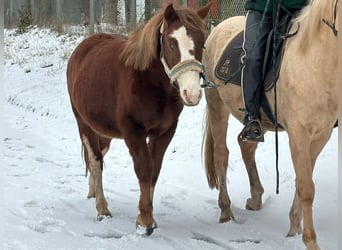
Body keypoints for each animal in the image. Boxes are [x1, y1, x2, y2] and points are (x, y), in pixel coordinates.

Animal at [66, 2, 211, 235]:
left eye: (202, 42)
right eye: (171, 43)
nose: (192, 93)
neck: (148, 81)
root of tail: (83, 47)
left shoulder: (164, 132)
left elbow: (154, 171)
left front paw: (149, 216)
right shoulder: (134, 132)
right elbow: (144, 169)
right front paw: (144, 221)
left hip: (103, 130)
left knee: (97, 156)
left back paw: (93, 191)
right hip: (83, 123)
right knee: (96, 161)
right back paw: (102, 208)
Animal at [202, 0, 338, 249]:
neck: (315, 59)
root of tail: (218, 27)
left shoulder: (321, 135)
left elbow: (304, 180)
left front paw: (294, 226)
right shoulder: (298, 134)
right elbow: (306, 187)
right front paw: (310, 240)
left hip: (259, 122)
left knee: (246, 146)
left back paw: (256, 198)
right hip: (217, 107)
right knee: (221, 155)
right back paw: (226, 210)